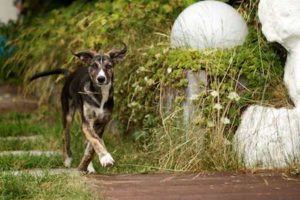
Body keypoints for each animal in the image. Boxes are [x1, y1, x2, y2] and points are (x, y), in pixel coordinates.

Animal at [30, 43, 127, 172]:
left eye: (108, 66)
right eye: (93, 66)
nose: (101, 79)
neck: (100, 94)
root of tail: (70, 74)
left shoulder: (101, 123)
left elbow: (92, 145)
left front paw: (89, 163)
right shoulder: (86, 122)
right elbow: (95, 140)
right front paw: (105, 157)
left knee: (86, 142)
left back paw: (89, 166)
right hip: (67, 115)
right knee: (65, 137)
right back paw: (67, 159)